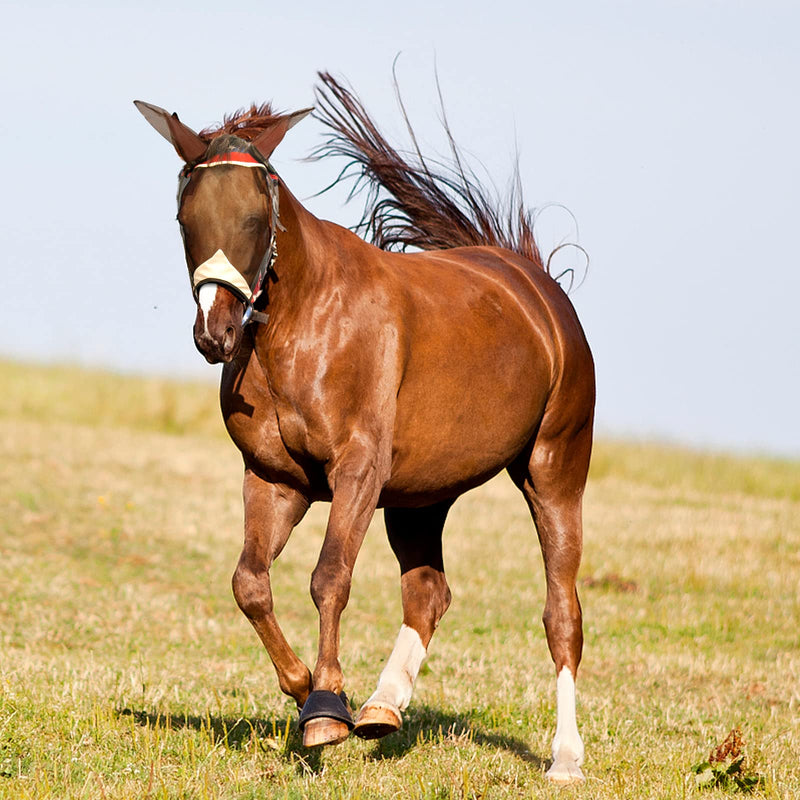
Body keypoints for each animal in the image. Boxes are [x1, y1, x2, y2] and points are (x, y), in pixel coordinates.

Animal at [134, 71, 595, 784]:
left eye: (254, 216)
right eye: (187, 218)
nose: (216, 333)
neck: (307, 320)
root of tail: (534, 283)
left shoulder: (357, 470)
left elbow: (329, 577)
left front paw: (325, 708)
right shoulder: (275, 480)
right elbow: (249, 583)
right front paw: (306, 689)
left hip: (553, 471)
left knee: (561, 612)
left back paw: (565, 756)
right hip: (420, 496)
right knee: (428, 592)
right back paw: (383, 705)